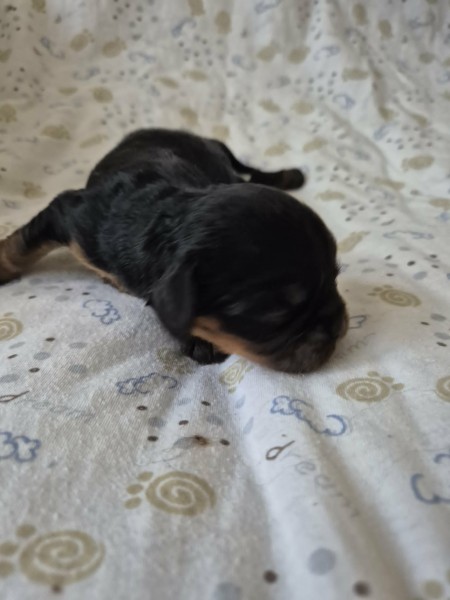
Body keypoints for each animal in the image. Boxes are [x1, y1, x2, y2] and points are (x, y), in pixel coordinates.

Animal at [0, 128, 348, 372]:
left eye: (336, 278)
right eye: (275, 315)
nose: (338, 326)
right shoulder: (71, 215)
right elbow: (20, 244)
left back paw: (292, 175)